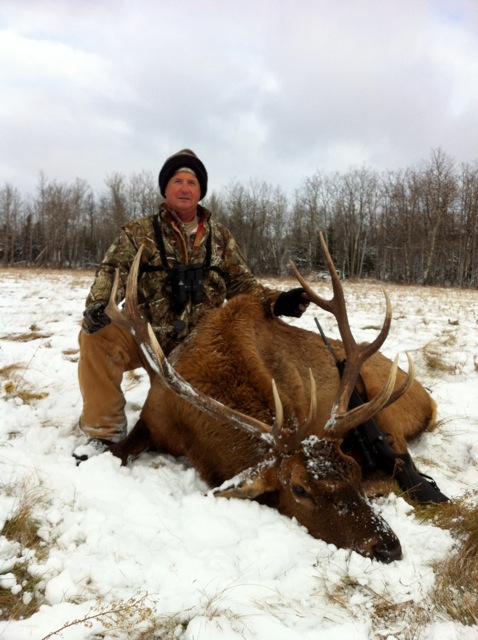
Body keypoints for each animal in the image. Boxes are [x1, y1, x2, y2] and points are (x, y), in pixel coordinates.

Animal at [104, 233, 448, 563]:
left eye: (353, 471)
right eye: (300, 489)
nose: (389, 547)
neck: (194, 436)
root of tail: (431, 403)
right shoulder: (152, 418)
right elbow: (116, 453)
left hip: (386, 409)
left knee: (402, 468)